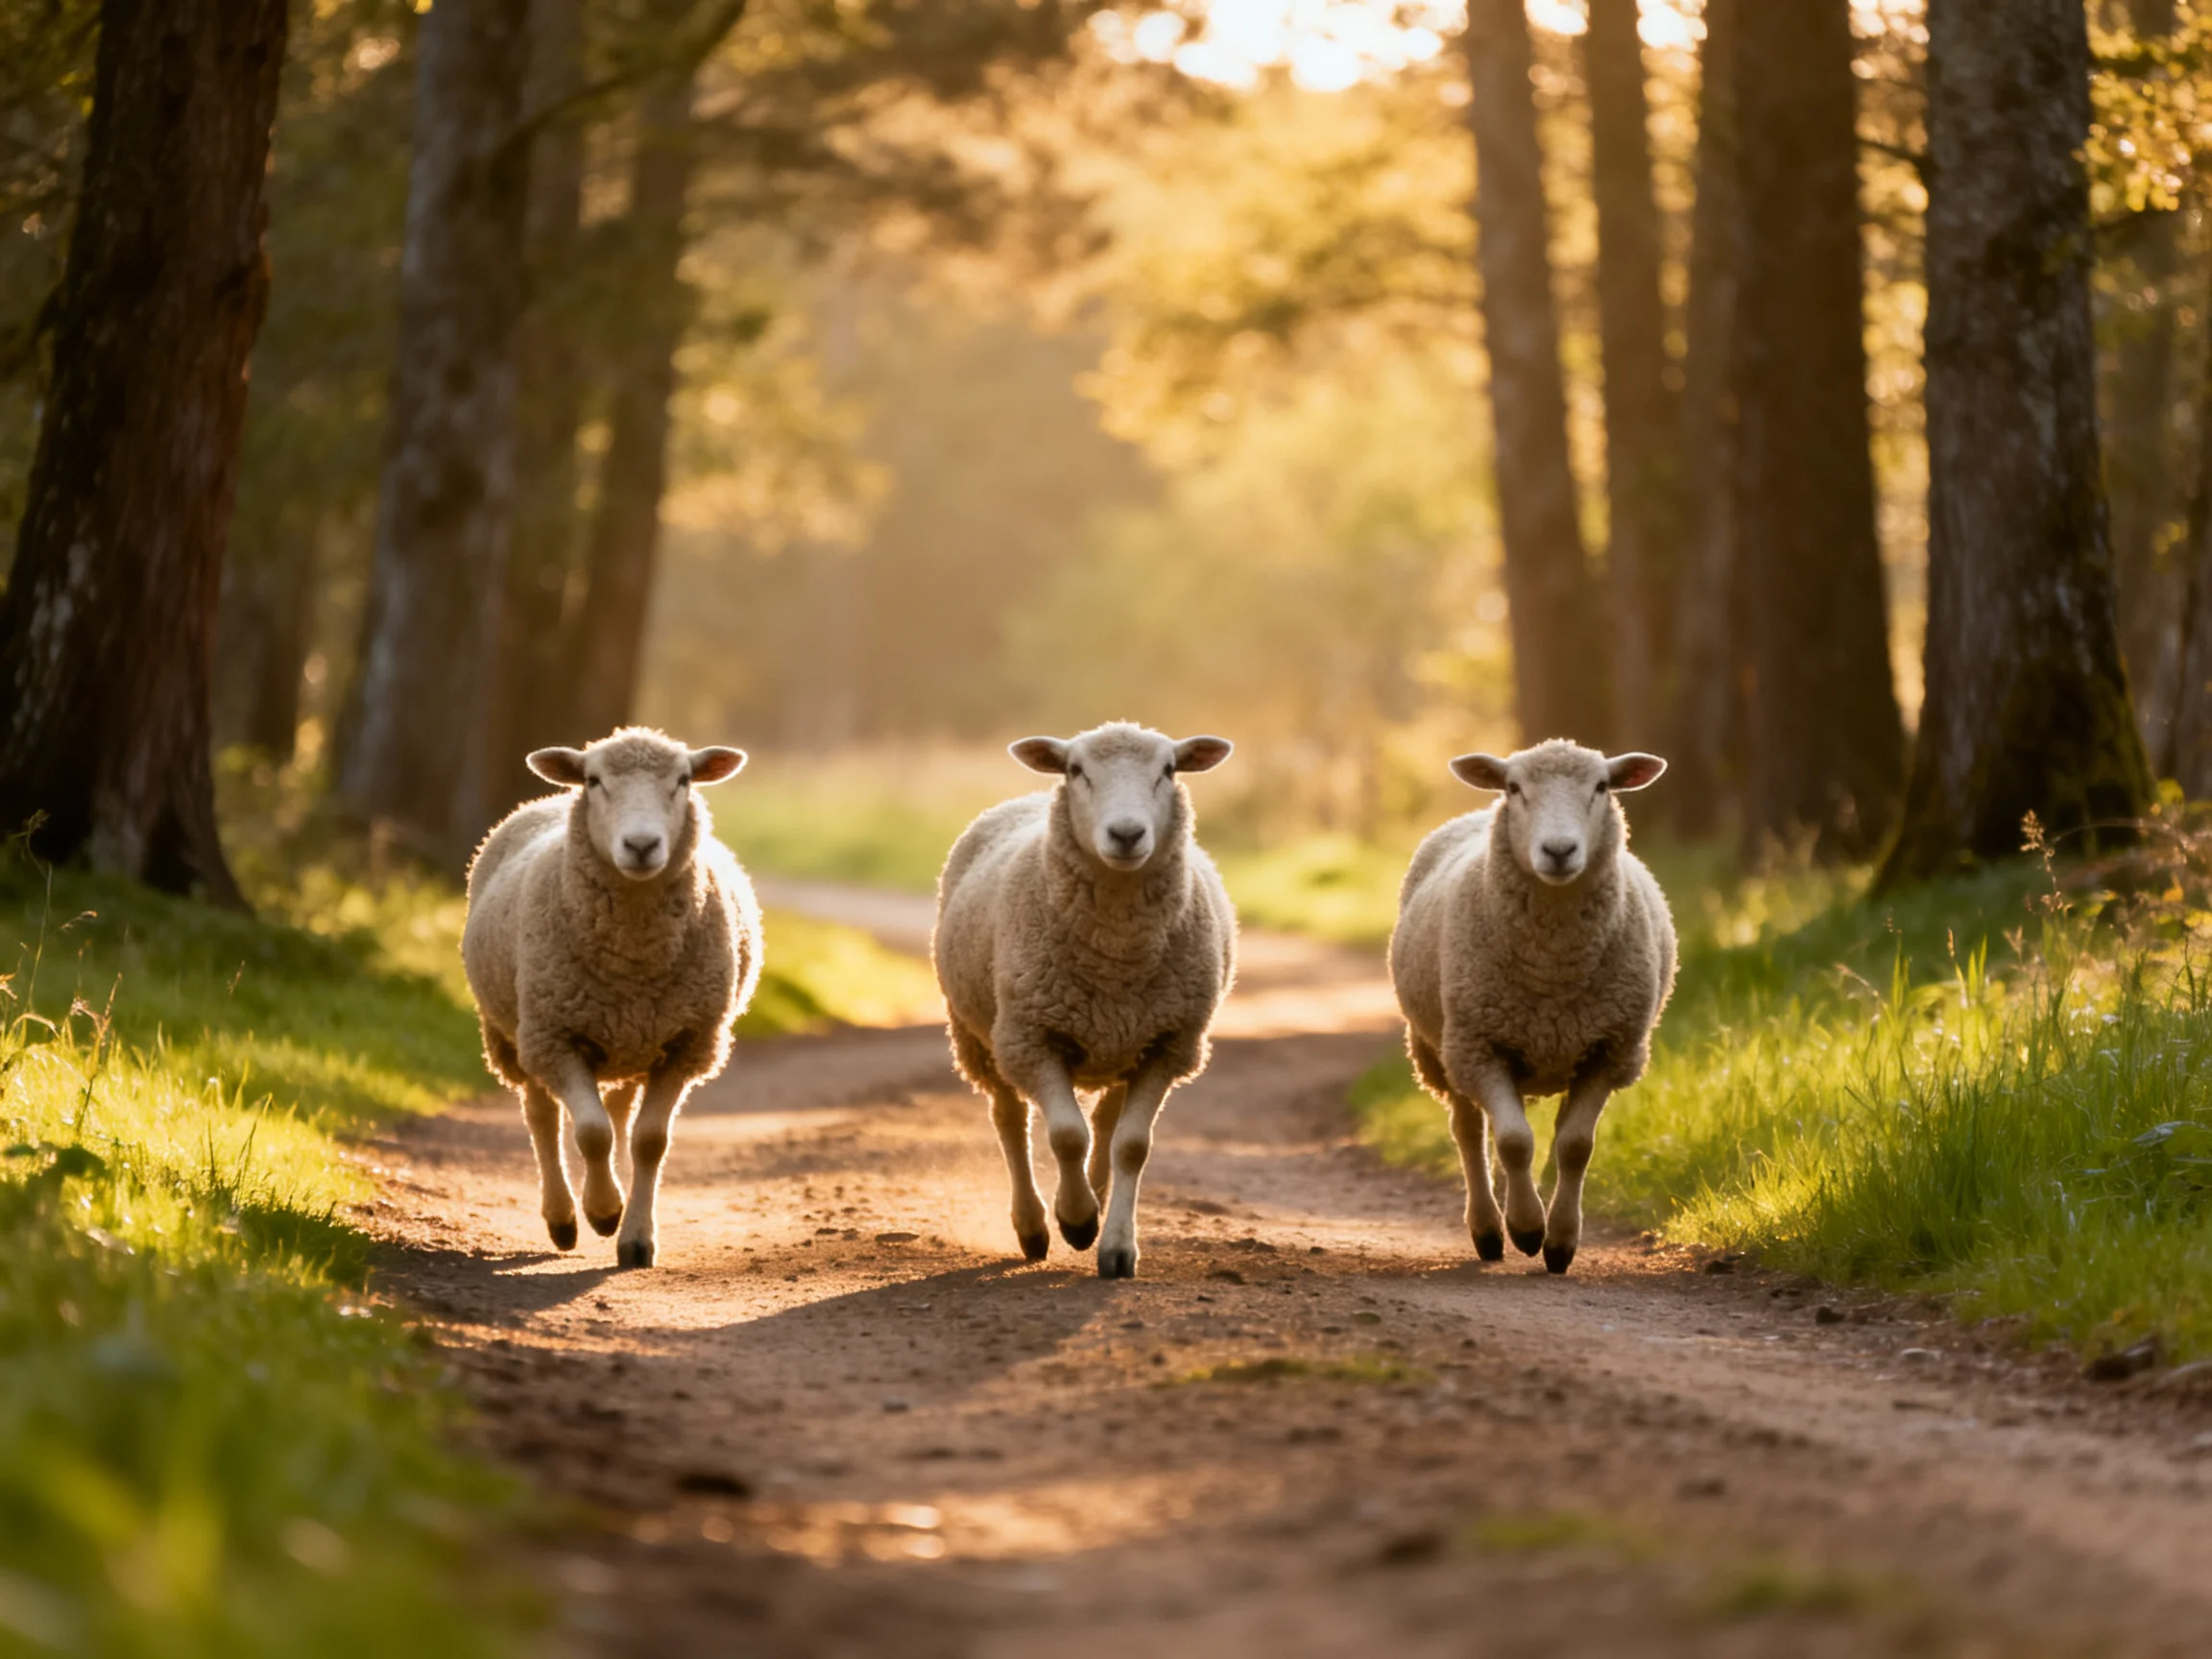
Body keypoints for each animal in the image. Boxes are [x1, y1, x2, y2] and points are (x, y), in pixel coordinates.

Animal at [462, 726, 761, 1269]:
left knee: (619, 1114)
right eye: (595, 781)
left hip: (632, 1045)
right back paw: (561, 1217)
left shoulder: (687, 1043)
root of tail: (545, 799)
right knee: (543, 1119)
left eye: (683, 780)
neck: (633, 962)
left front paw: (635, 1237)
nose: (641, 845)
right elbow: (590, 1133)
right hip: (516, 1036)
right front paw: (601, 1211)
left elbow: (649, 1140)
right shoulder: (556, 1038)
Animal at [933, 722, 1237, 1279]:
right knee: (1011, 1123)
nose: (1127, 834)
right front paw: (1074, 1221)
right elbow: (1066, 1136)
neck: (1116, 954)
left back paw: (1095, 1192)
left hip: (1125, 1044)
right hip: (982, 1039)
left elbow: (1132, 1146)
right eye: (1076, 771)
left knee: (1105, 1126)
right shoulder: (1033, 1038)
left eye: (1168, 770)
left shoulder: (1168, 1044)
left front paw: (1115, 1245)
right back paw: (1034, 1224)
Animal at [1388, 739, 1675, 1275]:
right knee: (1470, 1132)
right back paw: (1487, 1228)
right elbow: (1513, 1142)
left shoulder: (1611, 1051)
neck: (1552, 970)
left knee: (1544, 1133)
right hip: (1444, 1049)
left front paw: (1559, 1241)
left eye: (1601, 787)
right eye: (1514, 787)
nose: (1559, 851)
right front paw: (1524, 1228)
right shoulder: (1481, 1047)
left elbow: (1575, 1146)